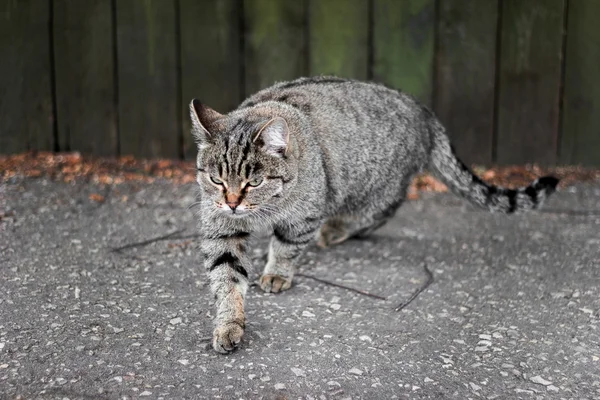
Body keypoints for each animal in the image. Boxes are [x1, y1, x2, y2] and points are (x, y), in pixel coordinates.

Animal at [190, 76, 560, 354]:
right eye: (217, 179)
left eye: (253, 182)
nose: (232, 203)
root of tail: (424, 111)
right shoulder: (221, 226)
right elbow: (226, 279)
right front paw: (229, 324)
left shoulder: (305, 216)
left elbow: (286, 247)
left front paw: (277, 273)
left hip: (376, 187)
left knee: (384, 210)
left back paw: (337, 229)